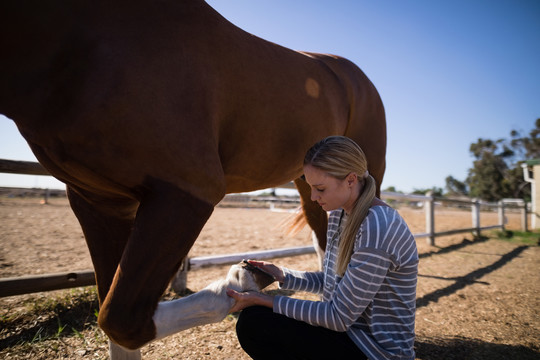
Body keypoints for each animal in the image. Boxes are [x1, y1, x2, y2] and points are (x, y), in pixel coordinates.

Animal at [2, 0, 386, 354]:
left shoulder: (186, 191)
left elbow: (123, 319)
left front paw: (242, 281)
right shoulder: (99, 204)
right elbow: (115, 321)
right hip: (308, 186)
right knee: (324, 241)